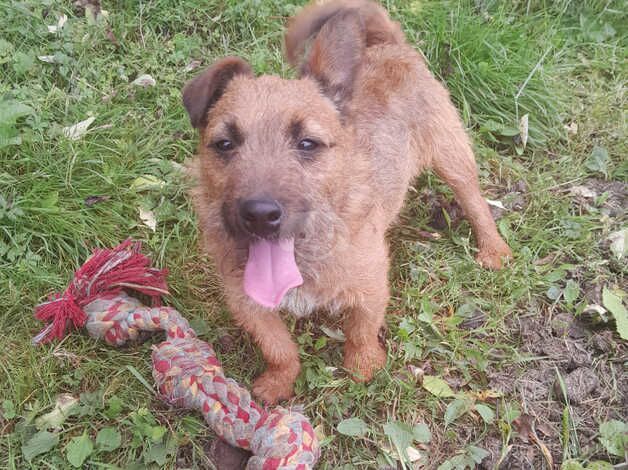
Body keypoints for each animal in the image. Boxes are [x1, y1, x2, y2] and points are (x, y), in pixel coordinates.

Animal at [182, 0, 510, 404]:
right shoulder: (248, 302)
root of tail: (389, 46)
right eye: (224, 144)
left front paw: (362, 368)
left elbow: (361, 331)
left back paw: (493, 249)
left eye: (308, 143)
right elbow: (278, 347)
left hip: (452, 155)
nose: (259, 214)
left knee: (477, 203)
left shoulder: (370, 283)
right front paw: (278, 382)